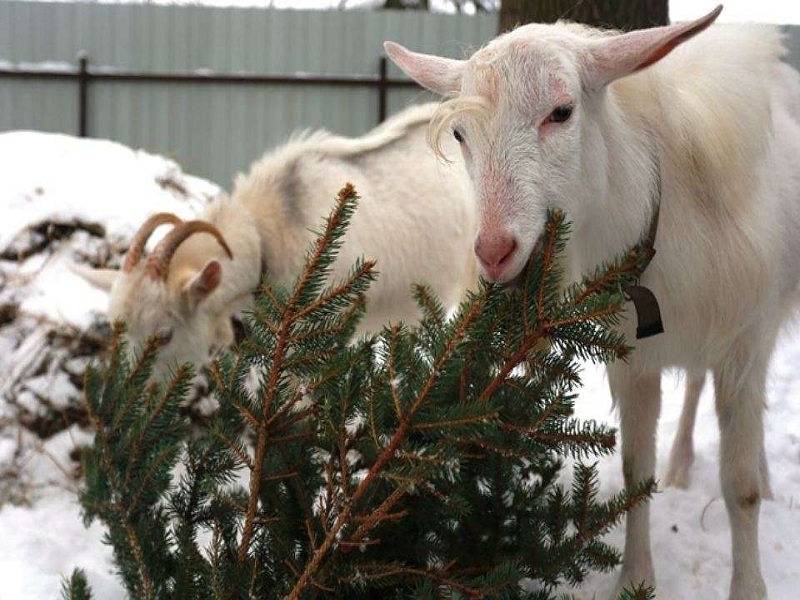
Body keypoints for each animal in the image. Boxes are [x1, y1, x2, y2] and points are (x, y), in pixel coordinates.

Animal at [386, 5, 792, 600]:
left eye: (561, 111)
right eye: (460, 133)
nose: (494, 252)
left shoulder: (743, 342)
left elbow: (739, 488)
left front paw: (749, 586)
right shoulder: (634, 359)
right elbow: (635, 471)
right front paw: (636, 578)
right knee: (696, 384)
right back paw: (681, 463)